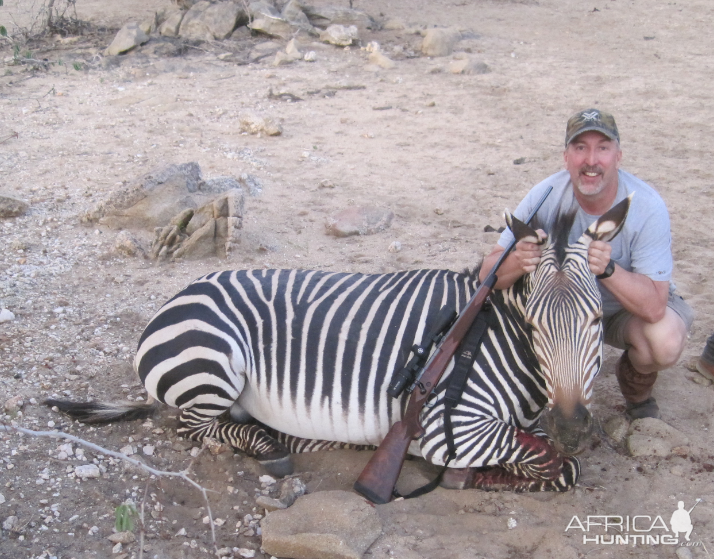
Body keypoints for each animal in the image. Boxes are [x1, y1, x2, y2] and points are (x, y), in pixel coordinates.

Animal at [47, 197, 628, 494]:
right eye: (534, 326)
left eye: (597, 320)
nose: (573, 426)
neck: (493, 336)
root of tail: (180, 294)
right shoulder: (456, 427)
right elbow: (554, 463)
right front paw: (489, 475)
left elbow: (555, 459)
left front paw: (502, 474)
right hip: (213, 366)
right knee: (193, 427)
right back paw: (273, 447)